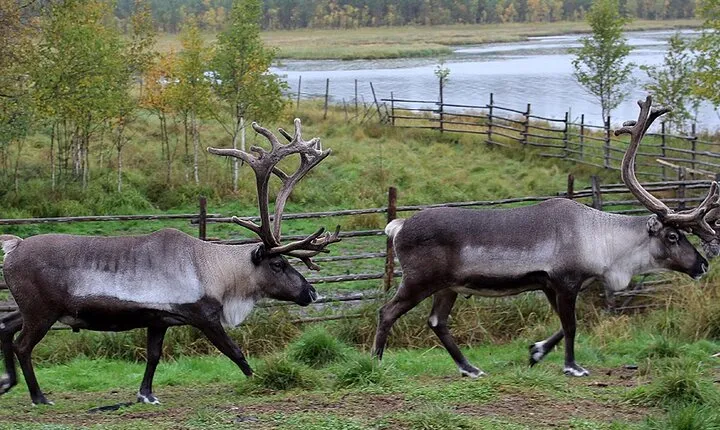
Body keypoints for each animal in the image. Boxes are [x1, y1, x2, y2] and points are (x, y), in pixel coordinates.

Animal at [0, 119, 340, 406]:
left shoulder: (158, 319)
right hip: (42, 311)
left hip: (33, 308)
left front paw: (145, 394)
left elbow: (153, 356)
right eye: (278, 264)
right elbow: (234, 351)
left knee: (6, 326)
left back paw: (8, 382)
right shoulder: (203, 316)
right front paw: (258, 381)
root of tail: (13, 247)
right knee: (22, 345)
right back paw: (38, 396)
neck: (215, 271)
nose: (310, 292)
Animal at [374, 96, 719, 378]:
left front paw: (536, 351)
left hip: (448, 286)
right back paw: (376, 362)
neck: (603, 242)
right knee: (387, 311)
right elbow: (572, 325)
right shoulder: (565, 281)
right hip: (420, 280)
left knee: (437, 321)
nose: (702, 264)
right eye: (673, 236)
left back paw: (470, 368)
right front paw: (572, 366)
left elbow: (564, 326)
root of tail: (397, 226)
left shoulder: (550, 285)